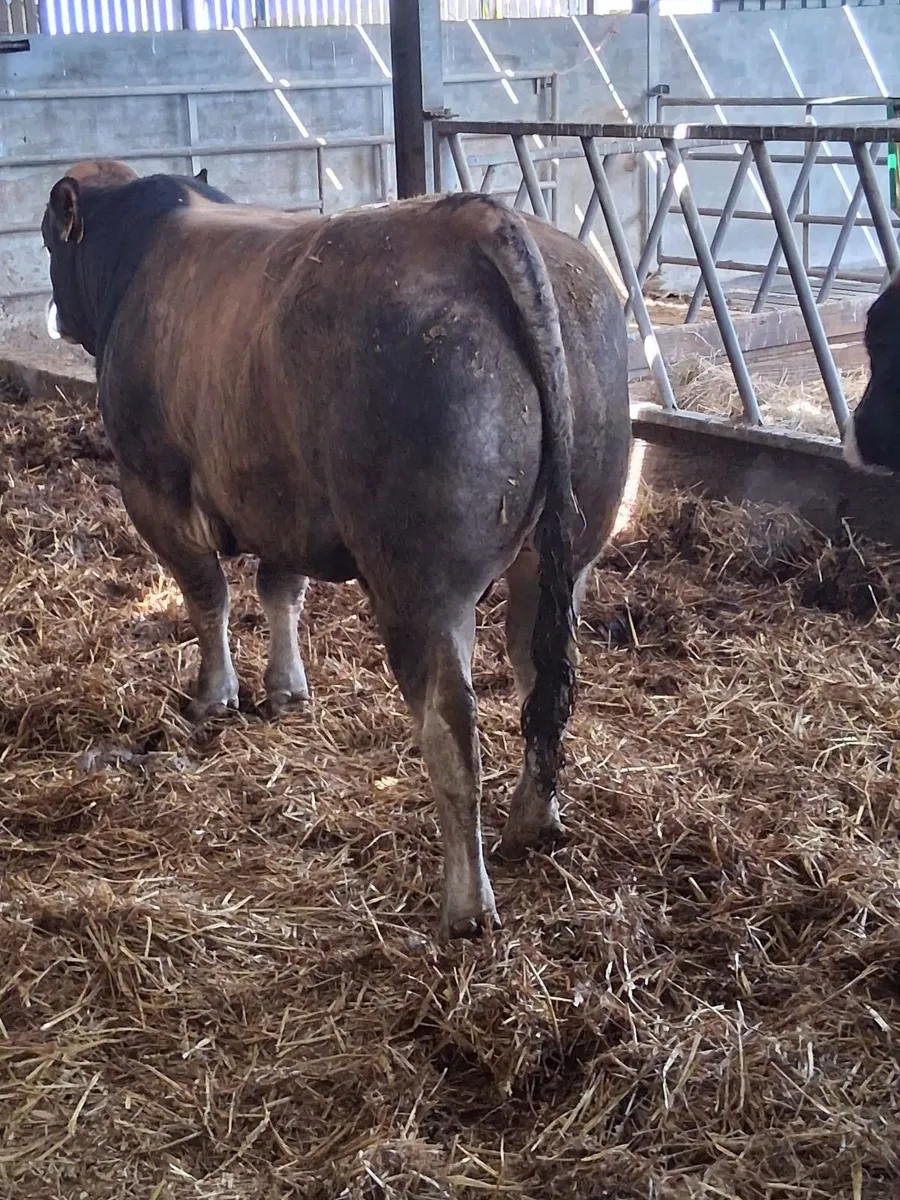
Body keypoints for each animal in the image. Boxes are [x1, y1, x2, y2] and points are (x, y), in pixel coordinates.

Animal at [41, 159, 632, 939]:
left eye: (51, 240)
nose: (59, 314)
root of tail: (479, 219)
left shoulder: (153, 488)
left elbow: (208, 596)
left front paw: (214, 697)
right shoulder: (280, 499)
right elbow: (279, 589)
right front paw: (286, 690)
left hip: (419, 582)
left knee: (451, 727)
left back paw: (465, 905)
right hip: (565, 554)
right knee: (544, 681)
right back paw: (533, 823)